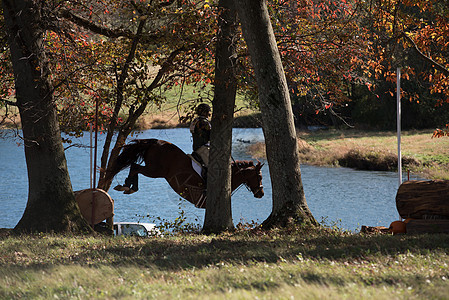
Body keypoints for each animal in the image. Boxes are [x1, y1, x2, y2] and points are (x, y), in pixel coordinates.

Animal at [103, 139, 264, 207]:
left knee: (134, 166)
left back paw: (127, 186)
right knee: (135, 167)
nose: (261, 194)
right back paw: (129, 186)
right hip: (155, 171)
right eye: (259, 176)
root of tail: (155, 141)